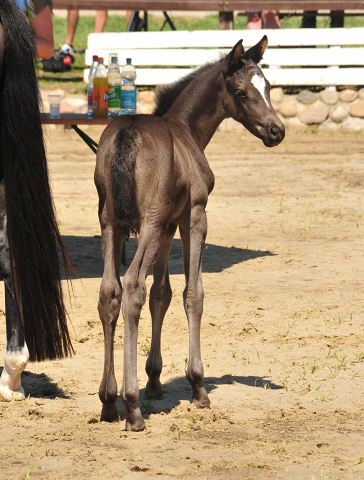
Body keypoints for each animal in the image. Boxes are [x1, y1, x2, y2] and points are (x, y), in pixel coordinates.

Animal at [96, 35, 284, 430]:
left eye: (268, 87)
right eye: (241, 92)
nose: (277, 131)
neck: (185, 128)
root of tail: (127, 133)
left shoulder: (168, 227)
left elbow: (162, 293)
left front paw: (154, 380)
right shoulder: (193, 216)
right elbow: (192, 294)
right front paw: (198, 386)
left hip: (112, 222)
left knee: (110, 292)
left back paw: (107, 401)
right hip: (148, 223)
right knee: (132, 286)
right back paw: (131, 406)